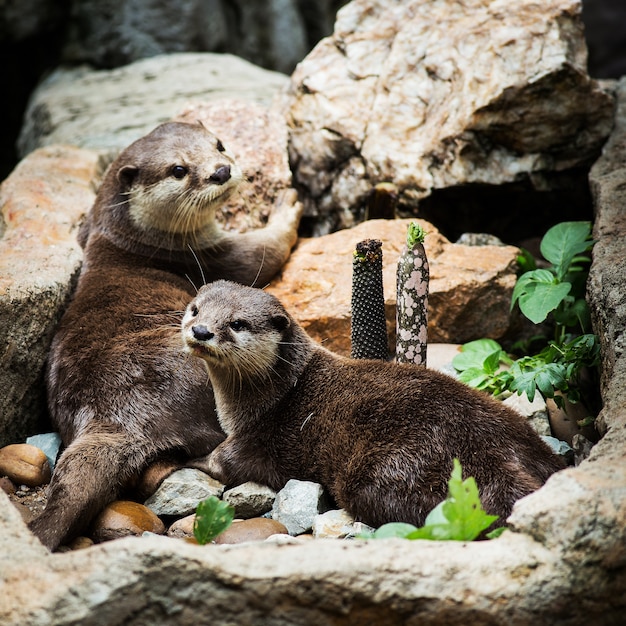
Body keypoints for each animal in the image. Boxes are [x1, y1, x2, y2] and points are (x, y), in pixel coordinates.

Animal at [29, 120, 302, 544]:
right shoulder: (212, 257)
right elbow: (267, 249)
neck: (141, 242)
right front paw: (285, 205)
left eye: (219, 144)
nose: (221, 170)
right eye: (178, 170)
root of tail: (114, 417)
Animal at [180, 280, 560, 528]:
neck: (274, 393)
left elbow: (221, 461)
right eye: (195, 309)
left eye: (237, 323)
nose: (201, 330)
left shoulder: (256, 438)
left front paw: (186, 461)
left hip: (385, 473)